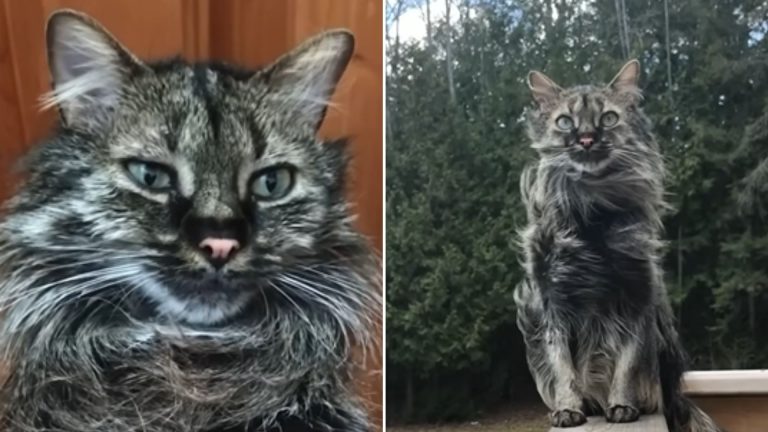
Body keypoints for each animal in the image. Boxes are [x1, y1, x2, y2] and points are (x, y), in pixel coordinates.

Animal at [512, 60, 724, 432]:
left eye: (608, 118)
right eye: (565, 121)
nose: (586, 139)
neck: (592, 211)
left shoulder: (637, 295)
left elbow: (626, 363)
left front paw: (623, 405)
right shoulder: (551, 302)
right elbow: (561, 365)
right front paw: (568, 409)